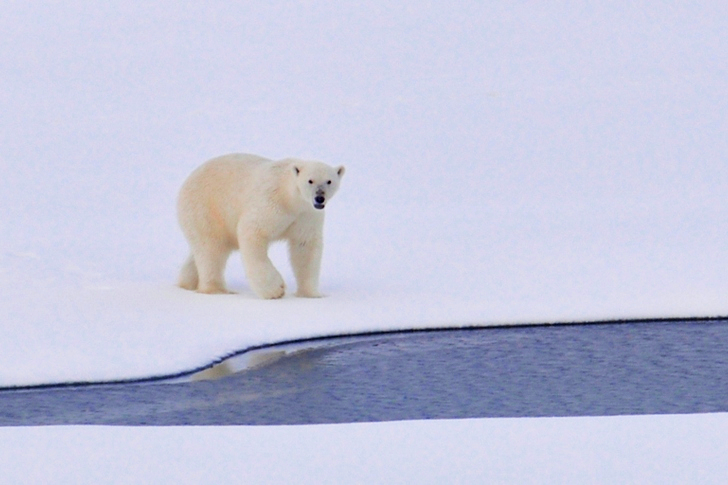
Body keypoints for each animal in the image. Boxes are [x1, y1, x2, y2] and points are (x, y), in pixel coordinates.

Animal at [177, 153, 345, 299]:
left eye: (329, 181)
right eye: (310, 181)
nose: (319, 198)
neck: (290, 197)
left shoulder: (306, 214)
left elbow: (305, 246)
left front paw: (311, 294)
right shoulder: (271, 201)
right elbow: (252, 231)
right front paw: (275, 289)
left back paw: (187, 283)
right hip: (206, 209)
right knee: (211, 249)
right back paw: (217, 290)